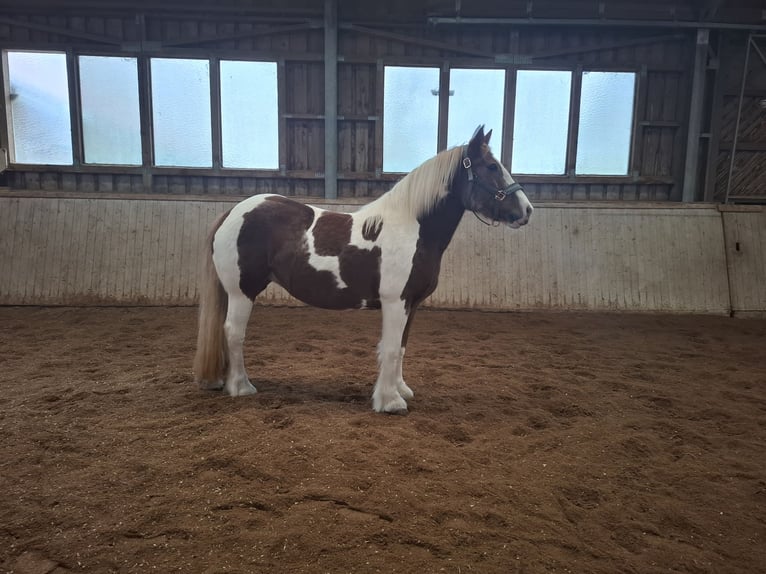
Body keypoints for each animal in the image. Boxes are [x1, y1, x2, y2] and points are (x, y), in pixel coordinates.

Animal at [193, 125, 533, 414]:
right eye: (492, 167)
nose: (527, 210)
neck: (412, 228)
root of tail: (232, 212)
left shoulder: (411, 303)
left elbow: (402, 348)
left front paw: (401, 390)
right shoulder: (396, 302)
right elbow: (391, 349)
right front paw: (390, 402)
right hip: (242, 291)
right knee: (233, 332)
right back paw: (241, 387)